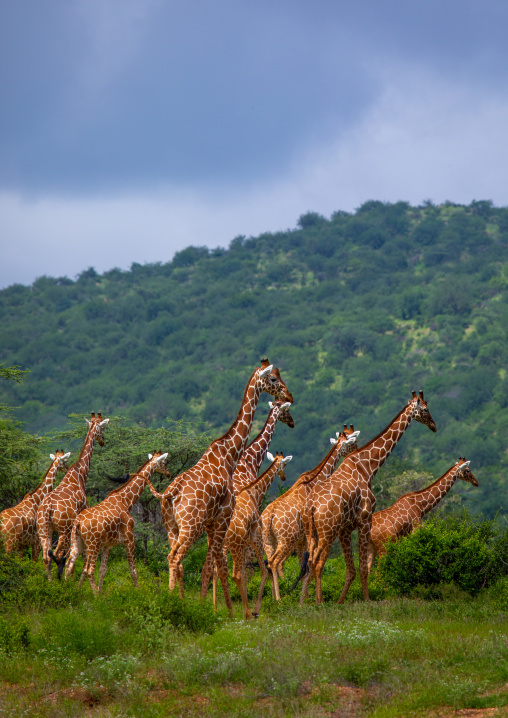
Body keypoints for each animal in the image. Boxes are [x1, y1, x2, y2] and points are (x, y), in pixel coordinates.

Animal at [36, 412, 109, 580]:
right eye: (102, 428)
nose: (102, 441)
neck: (80, 473)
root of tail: (47, 508)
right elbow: (78, 555)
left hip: (44, 529)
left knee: (45, 556)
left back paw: (50, 582)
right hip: (63, 530)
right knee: (56, 554)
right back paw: (61, 581)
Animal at [65, 452, 171, 594]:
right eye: (164, 462)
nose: (168, 473)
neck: (126, 501)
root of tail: (78, 521)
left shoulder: (107, 545)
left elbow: (103, 571)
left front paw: (100, 593)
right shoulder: (129, 539)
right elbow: (133, 571)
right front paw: (139, 592)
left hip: (78, 542)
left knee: (69, 565)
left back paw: (70, 590)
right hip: (93, 544)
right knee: (88, 570)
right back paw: (95, 596)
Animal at [221, 451, 292, 619]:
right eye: (285, 464)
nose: (284, 477)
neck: (253, 491)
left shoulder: (246, 543)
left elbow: (246, 574)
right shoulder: (256, 538)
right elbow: (263, 571)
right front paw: (256, 609)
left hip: (226, 547)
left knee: (222, 573)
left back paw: (226, 611)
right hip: (236, 546)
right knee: (235, 575)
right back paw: (248, 613)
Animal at [262, 427, 360, 601]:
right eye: (352, 441)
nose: (355, 451)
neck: (316, 477)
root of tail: (270, 516)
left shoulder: (302, 538)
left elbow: (304, 563)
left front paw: (304, 595)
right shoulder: (308, 535)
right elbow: (308, 564)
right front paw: (308, 596)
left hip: (268, 541)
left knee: (268, 563)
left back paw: (274, 597)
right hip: (286, 539)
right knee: (274, 562)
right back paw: (279, 599)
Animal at [299, 391, 437, 605]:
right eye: (425, 408)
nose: (433, 425)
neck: (367, 467)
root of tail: (312, 506)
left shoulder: (346, 528)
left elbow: (351, 569)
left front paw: (341, 601)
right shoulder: (364, 520)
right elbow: (364, 568)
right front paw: (366, 600)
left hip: (311, 532)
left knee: (309, 563)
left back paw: (303, 602)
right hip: (327, 530)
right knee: (317, 562)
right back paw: (318, 602)